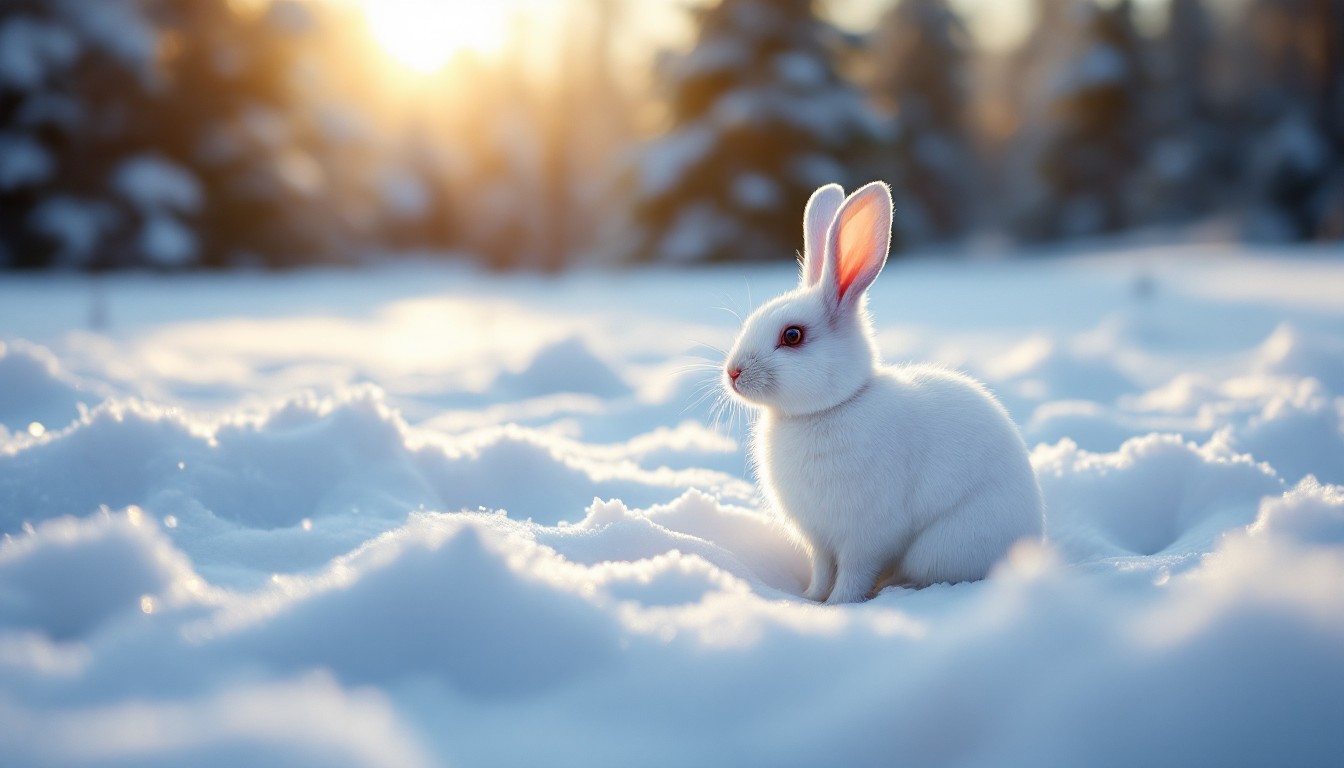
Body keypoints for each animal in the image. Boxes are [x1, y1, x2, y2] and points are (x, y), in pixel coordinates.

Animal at [723, 181, 1045, 603]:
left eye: (792, 336)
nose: (733, 373)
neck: (830, 408)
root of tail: (1031, 541)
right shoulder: (820, 540)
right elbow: (822, 568)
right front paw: (811, 598)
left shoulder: (865, 536)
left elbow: (853, 572)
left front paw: (839, 604)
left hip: (943, 545)